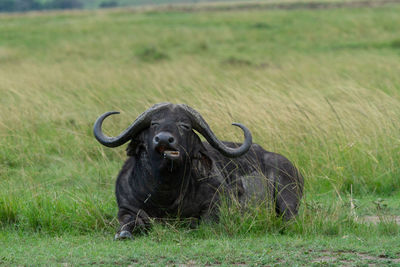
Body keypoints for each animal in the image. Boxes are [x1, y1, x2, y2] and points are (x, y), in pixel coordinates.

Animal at [93, 103, 304, 241]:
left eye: (184, 125)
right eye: (154, 124)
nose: (164, 139)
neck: (165, 194)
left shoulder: (216, 205)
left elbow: (203, 222)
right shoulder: (126, 208)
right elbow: (127, 224)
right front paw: (123, 233)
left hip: (287, 197)